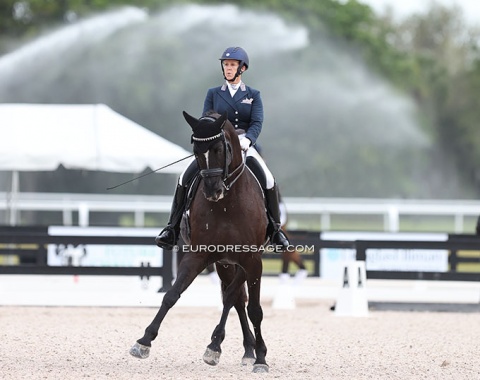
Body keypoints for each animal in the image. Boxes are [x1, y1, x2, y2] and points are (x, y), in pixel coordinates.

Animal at [129, 111, 268, 372]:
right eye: (195, 150)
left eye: (219, 149)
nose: (212, 191)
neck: (228, 204)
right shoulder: (199, 254)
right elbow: (172, 294)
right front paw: (143, 342)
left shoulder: (253, 260)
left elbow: (255, 309)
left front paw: (262, 359)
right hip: (224, 263)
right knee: (235, 299)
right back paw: (240, 349)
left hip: (240, 262)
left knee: (235, 298)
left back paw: (234, 349)